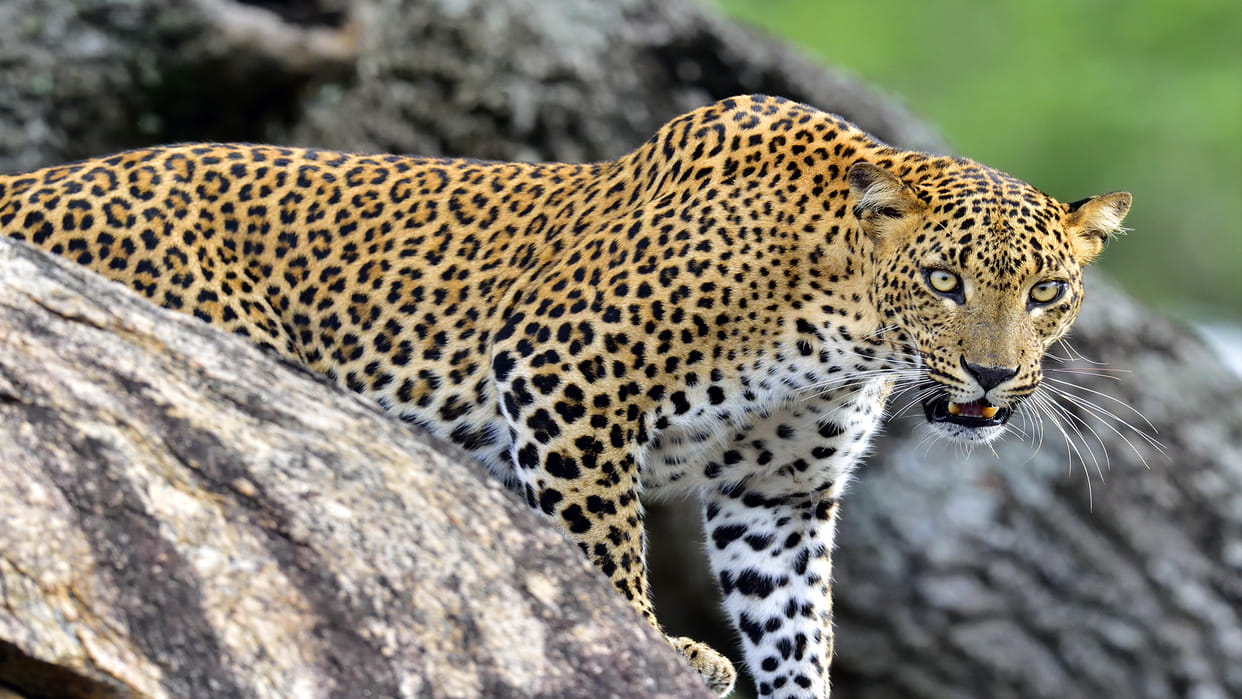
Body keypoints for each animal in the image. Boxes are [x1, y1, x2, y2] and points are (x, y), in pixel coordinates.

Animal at [0, 94, 1130, 698]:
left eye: (1048, 292)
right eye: (944, 282)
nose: (992, 375)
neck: (841, 324)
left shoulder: (779, 495)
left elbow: (793, 624)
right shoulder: (567, 377)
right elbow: (602, 546)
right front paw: (659, 648)